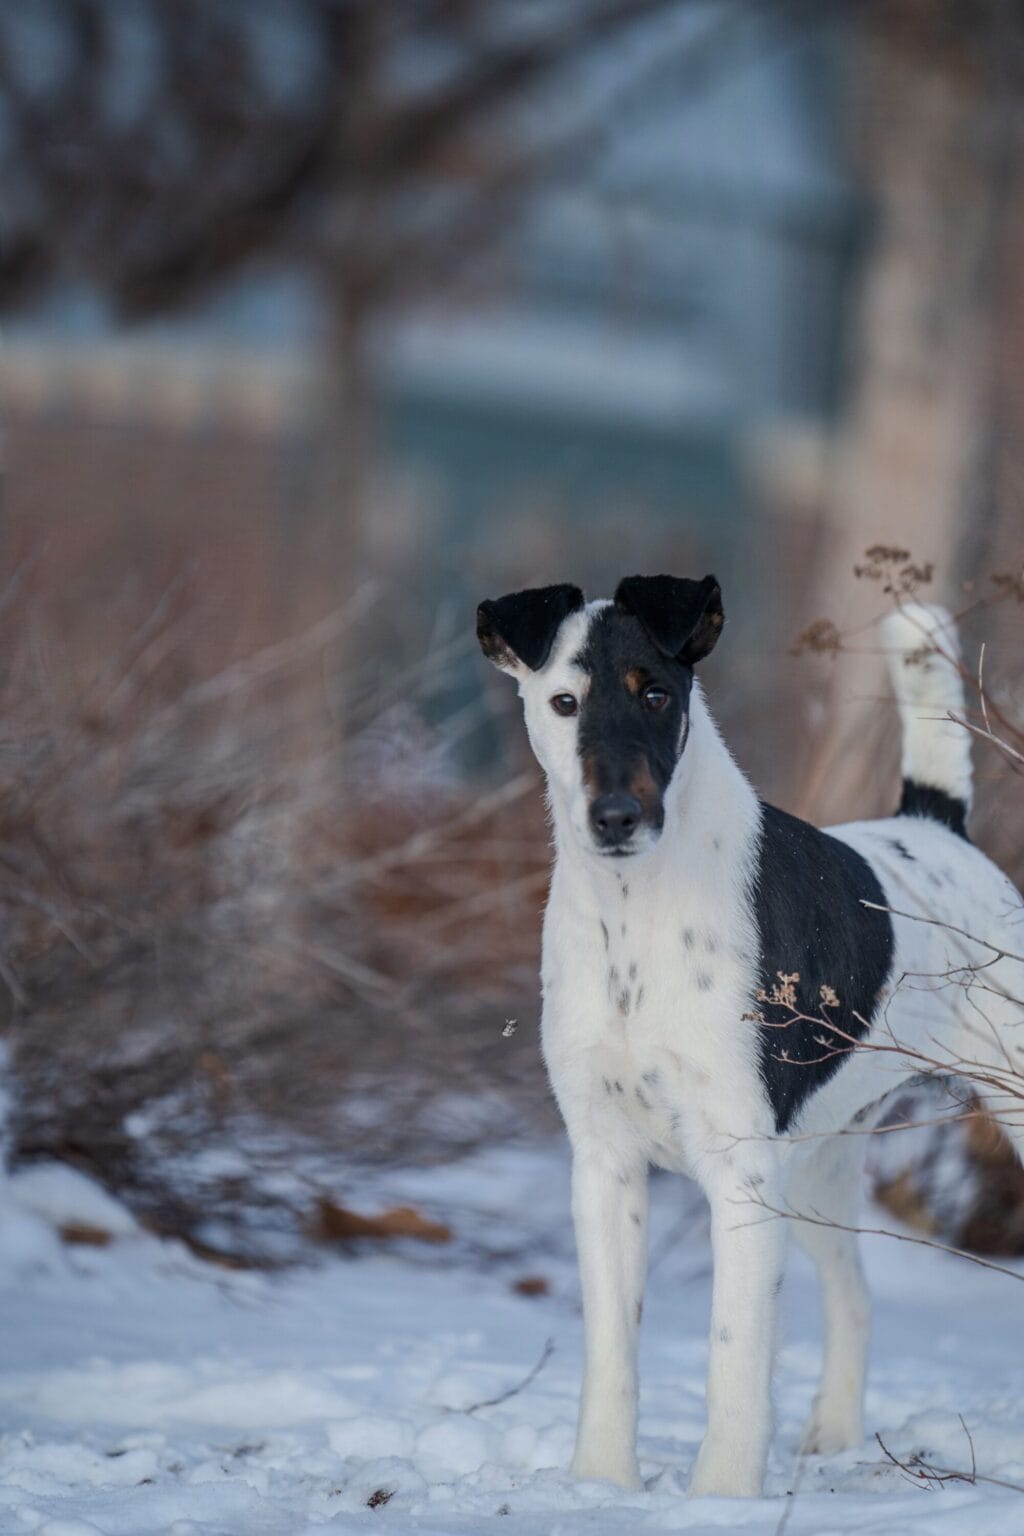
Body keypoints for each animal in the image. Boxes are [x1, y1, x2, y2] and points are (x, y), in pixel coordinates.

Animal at [475, 577, 1019, 1499]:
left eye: (656, 694)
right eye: (563, 703)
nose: (616, 817)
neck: (636, 913)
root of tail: (940, 827)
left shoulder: (737, 1171)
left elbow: (734, 1351)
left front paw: (721, 1496)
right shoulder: (606, 1164)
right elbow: (612, 1349)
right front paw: (600, 1483)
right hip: (817, 1174)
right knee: (854, 1296)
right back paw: (833, 1434)